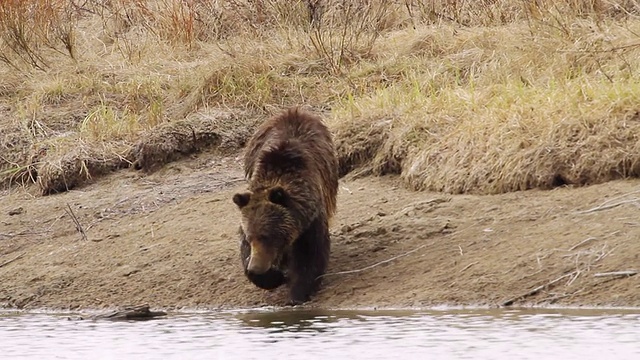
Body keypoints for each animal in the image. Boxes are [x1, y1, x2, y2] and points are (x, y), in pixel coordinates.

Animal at [231, 105, 340, 306]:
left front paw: (297, 293)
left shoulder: (310, 220)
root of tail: (294, 111)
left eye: (267, 235)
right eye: (251, 237)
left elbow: (309, 255)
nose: (255, 268)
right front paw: (273, 277)